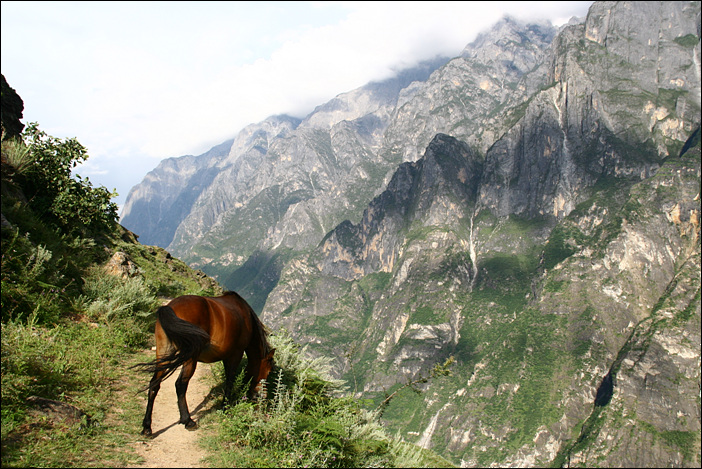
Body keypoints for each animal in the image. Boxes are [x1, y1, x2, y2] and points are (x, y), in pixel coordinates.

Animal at [133, 288, 276, 436]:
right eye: (269, 370)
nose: (261, 395)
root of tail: (170, 308)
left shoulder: (226, 356)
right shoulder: (236, 353)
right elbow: (230, 379)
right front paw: (225, 406)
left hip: (163, 352)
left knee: (154, 384)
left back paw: (147, 427)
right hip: (190, 358)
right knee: (180, 384)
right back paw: (188, 421)